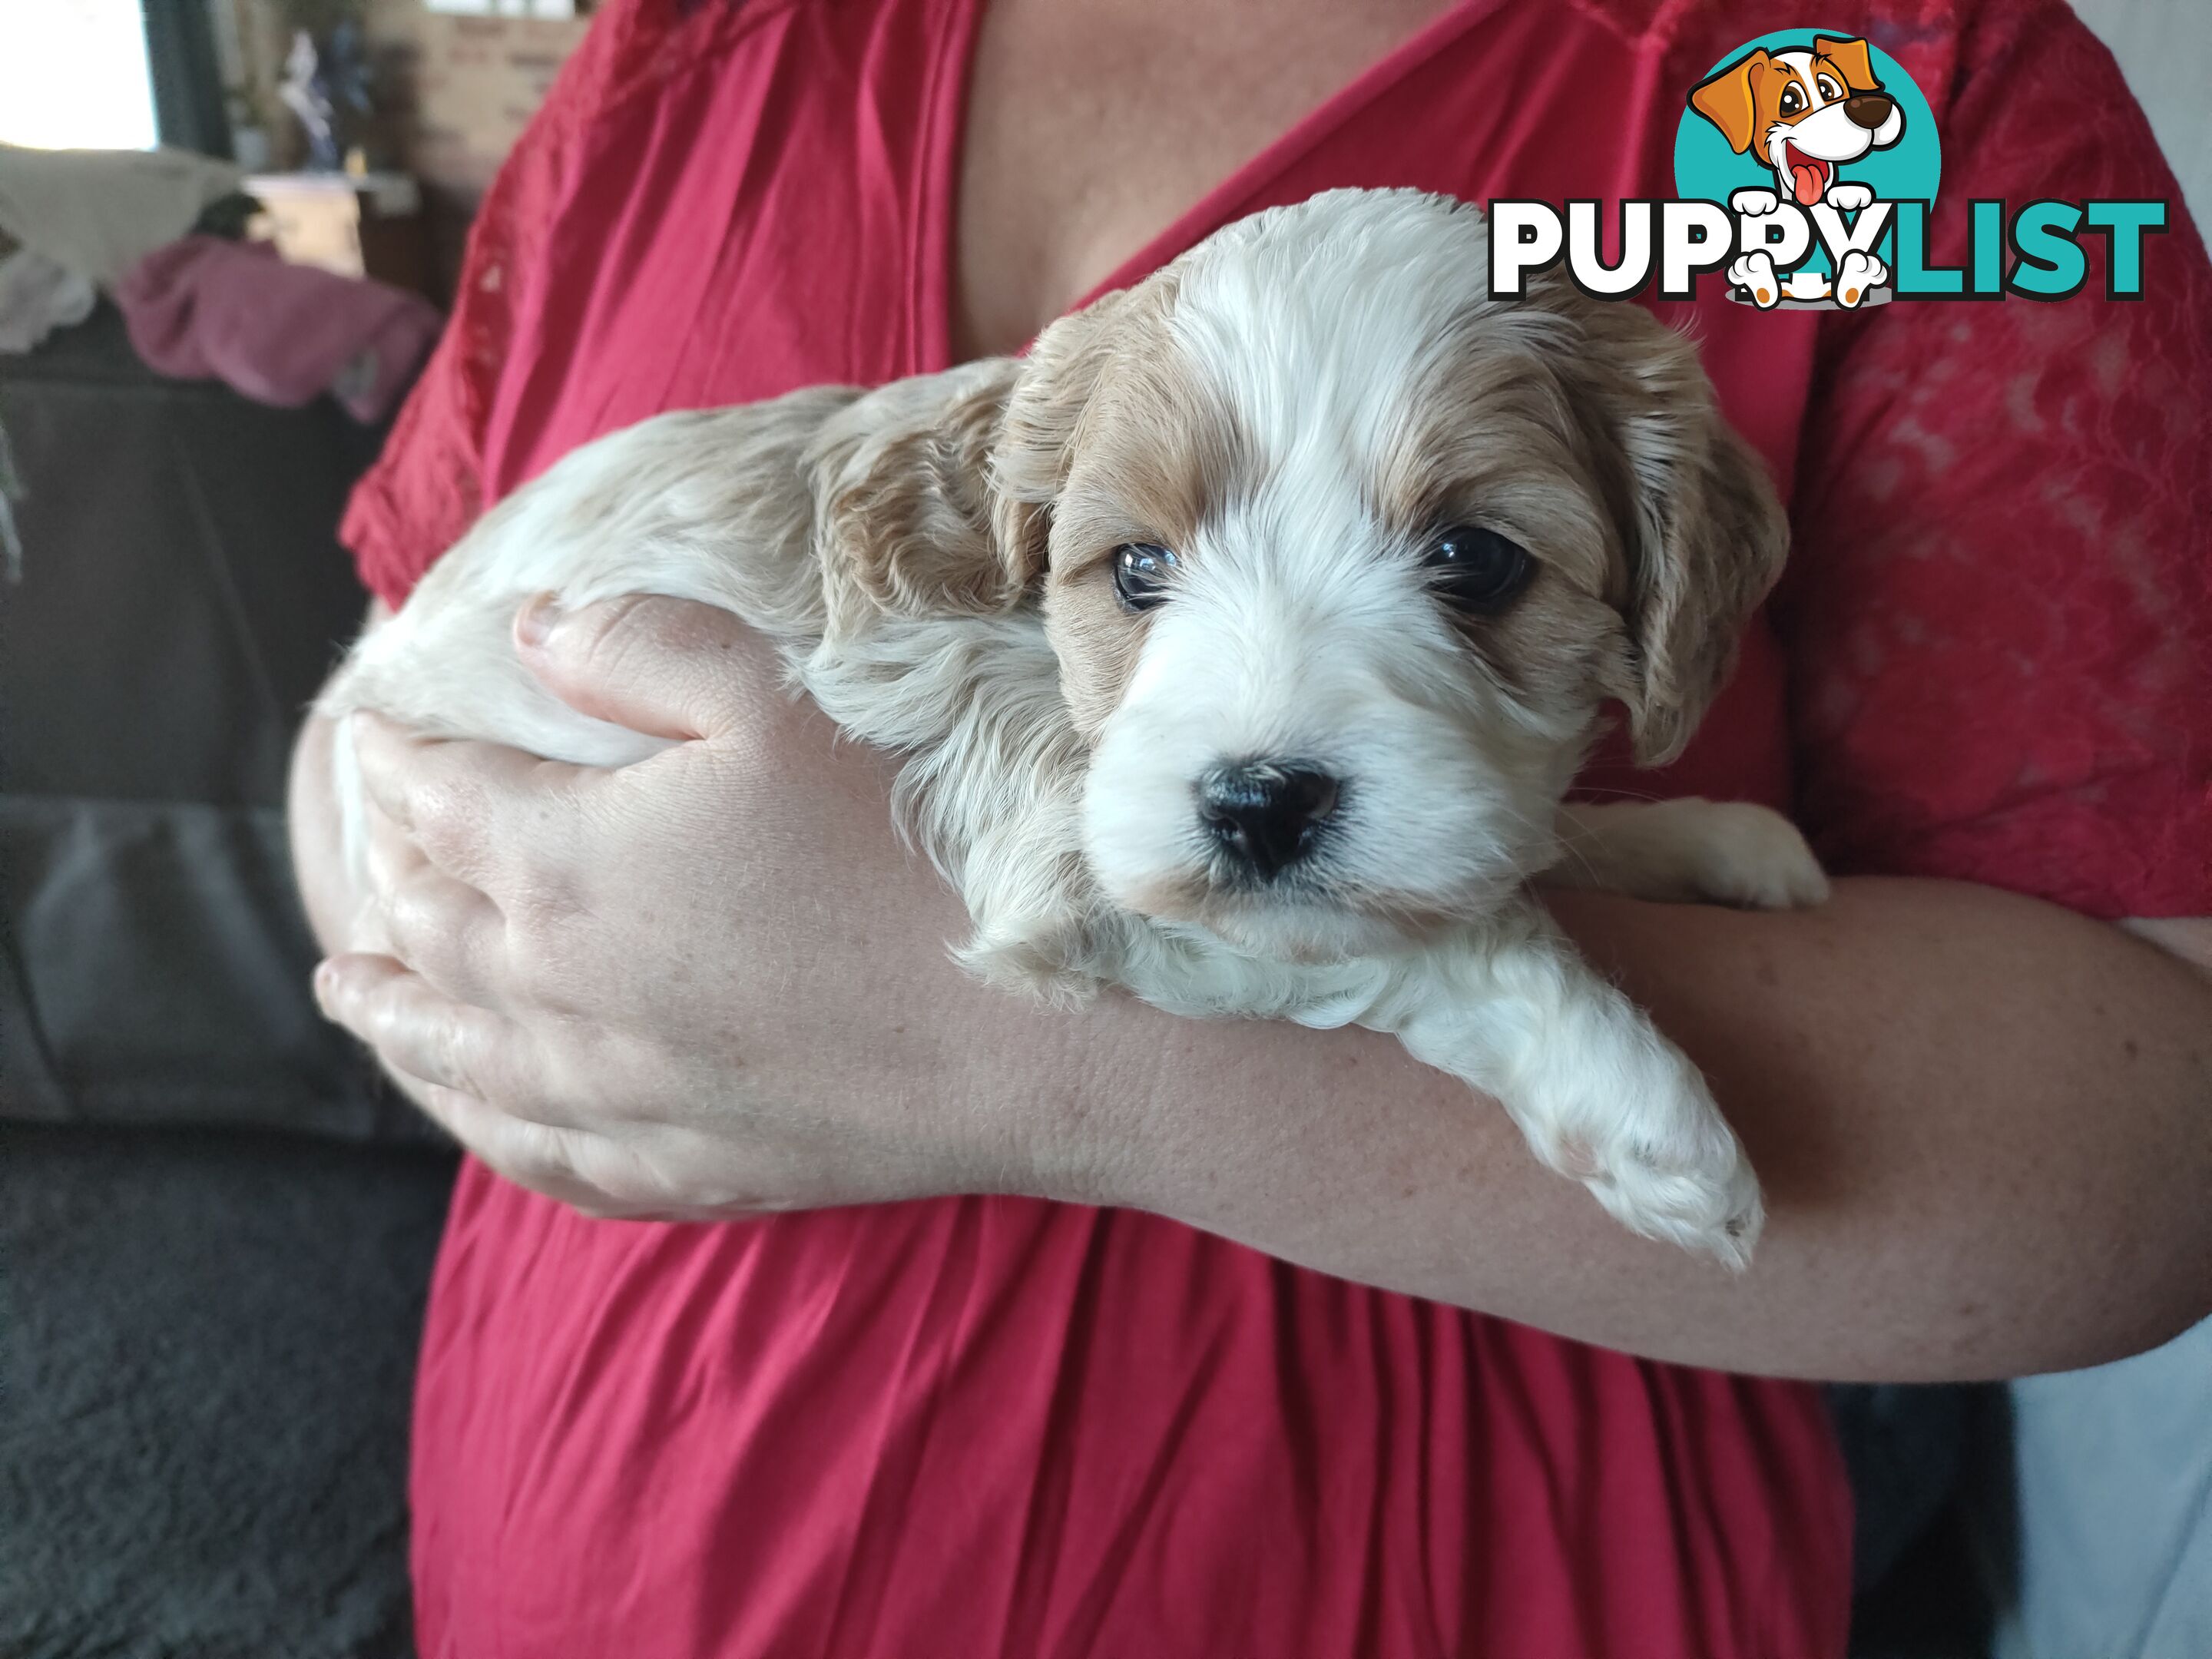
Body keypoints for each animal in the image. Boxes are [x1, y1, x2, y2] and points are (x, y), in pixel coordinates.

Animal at [320, 187, 1823, 1265]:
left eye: (1479, 560)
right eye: (1137, 569)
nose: (1258, 804)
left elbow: (1508, 842)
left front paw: (1704, 840)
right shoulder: (1068, 860)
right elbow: (1448, 934)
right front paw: (1635, 1097)